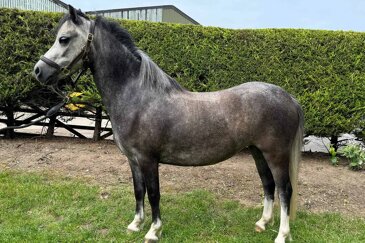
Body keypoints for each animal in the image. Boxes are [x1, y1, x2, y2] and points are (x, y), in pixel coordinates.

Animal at [33, 5, 302, 243]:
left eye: (64, 39)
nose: (38, 71)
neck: (138, 96)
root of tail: (288, 97)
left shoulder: (148, 159)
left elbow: (154, 194)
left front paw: (153, 231)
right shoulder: (133, 160)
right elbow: (138, 190)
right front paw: (135, 224)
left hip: (276, 155)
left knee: (284, 190)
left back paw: (282, 235)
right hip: (258, 152)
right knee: (268, 185)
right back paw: (262, 223)